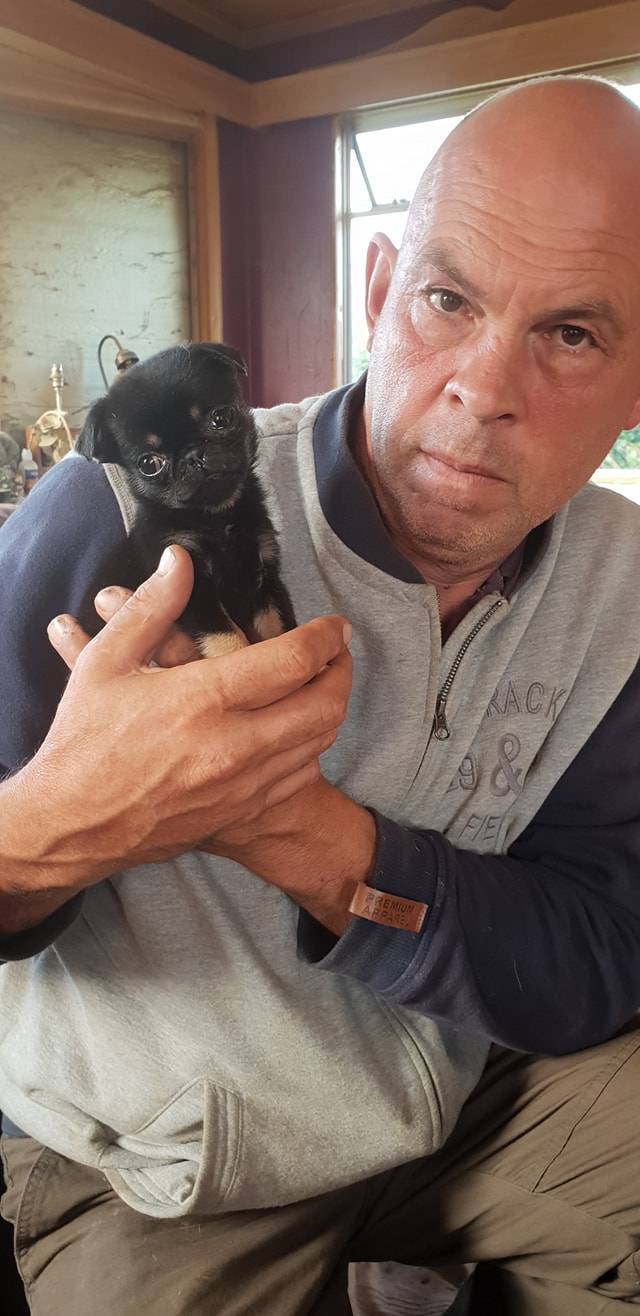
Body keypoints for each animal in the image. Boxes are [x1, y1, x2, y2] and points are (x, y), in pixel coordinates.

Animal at [76, 342, 296, 655]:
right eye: (149, 464)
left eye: (221, 418)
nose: (193, 456)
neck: (217, 518)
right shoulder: (193, 587)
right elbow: (228, 639)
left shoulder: (265, 577)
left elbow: (277, 628)